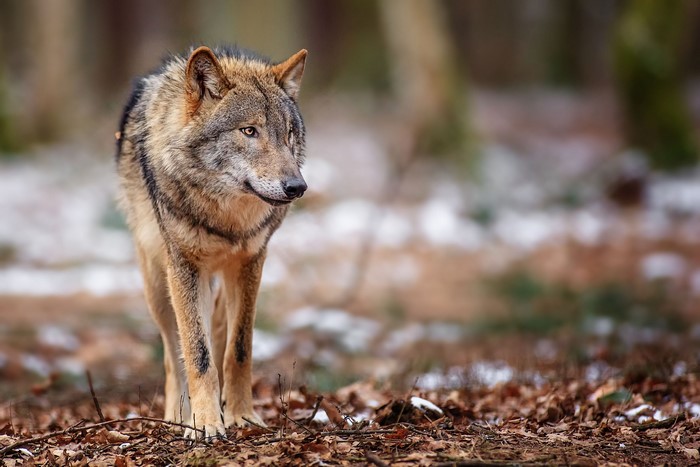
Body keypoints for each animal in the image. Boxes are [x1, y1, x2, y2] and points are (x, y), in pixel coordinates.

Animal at [116, 45, 308, 439]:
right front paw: (204, 423)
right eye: (249, 131)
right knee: (172, 353)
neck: (226, 218)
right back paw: (179, 414)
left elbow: (239, 349)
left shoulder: (251, 262)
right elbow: (197, 353)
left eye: (289, 133)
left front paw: (240, 415)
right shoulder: (184, 267)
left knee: (219, 331)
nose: (297, 187)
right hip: (158, 285)